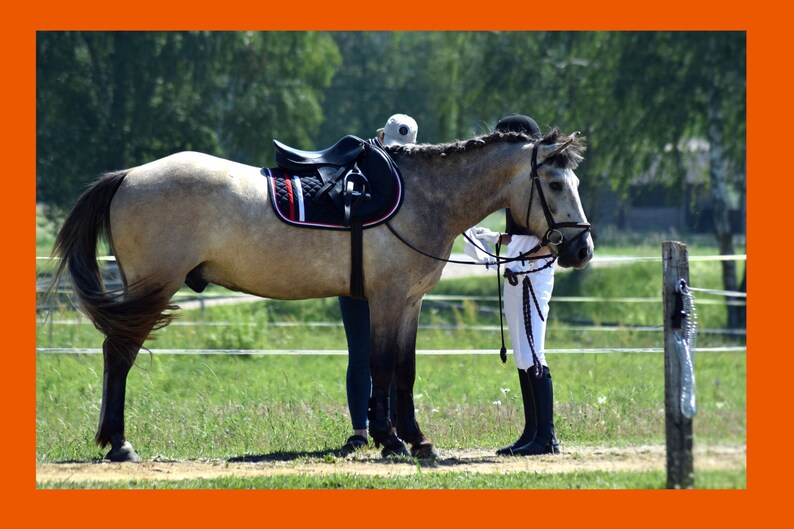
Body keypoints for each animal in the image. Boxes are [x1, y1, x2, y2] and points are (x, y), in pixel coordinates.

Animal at [50, 127, 594, 462]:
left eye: (576, 180)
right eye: (553, 182)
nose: (582, 249)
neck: (422, 197)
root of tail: (128, 176)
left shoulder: (409, 303)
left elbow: (405, 371)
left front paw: (414, 440)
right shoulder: (388, 299)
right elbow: (382, 368)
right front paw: (393, 440)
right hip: (153, 287)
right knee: (119, 354)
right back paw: (119, 444)